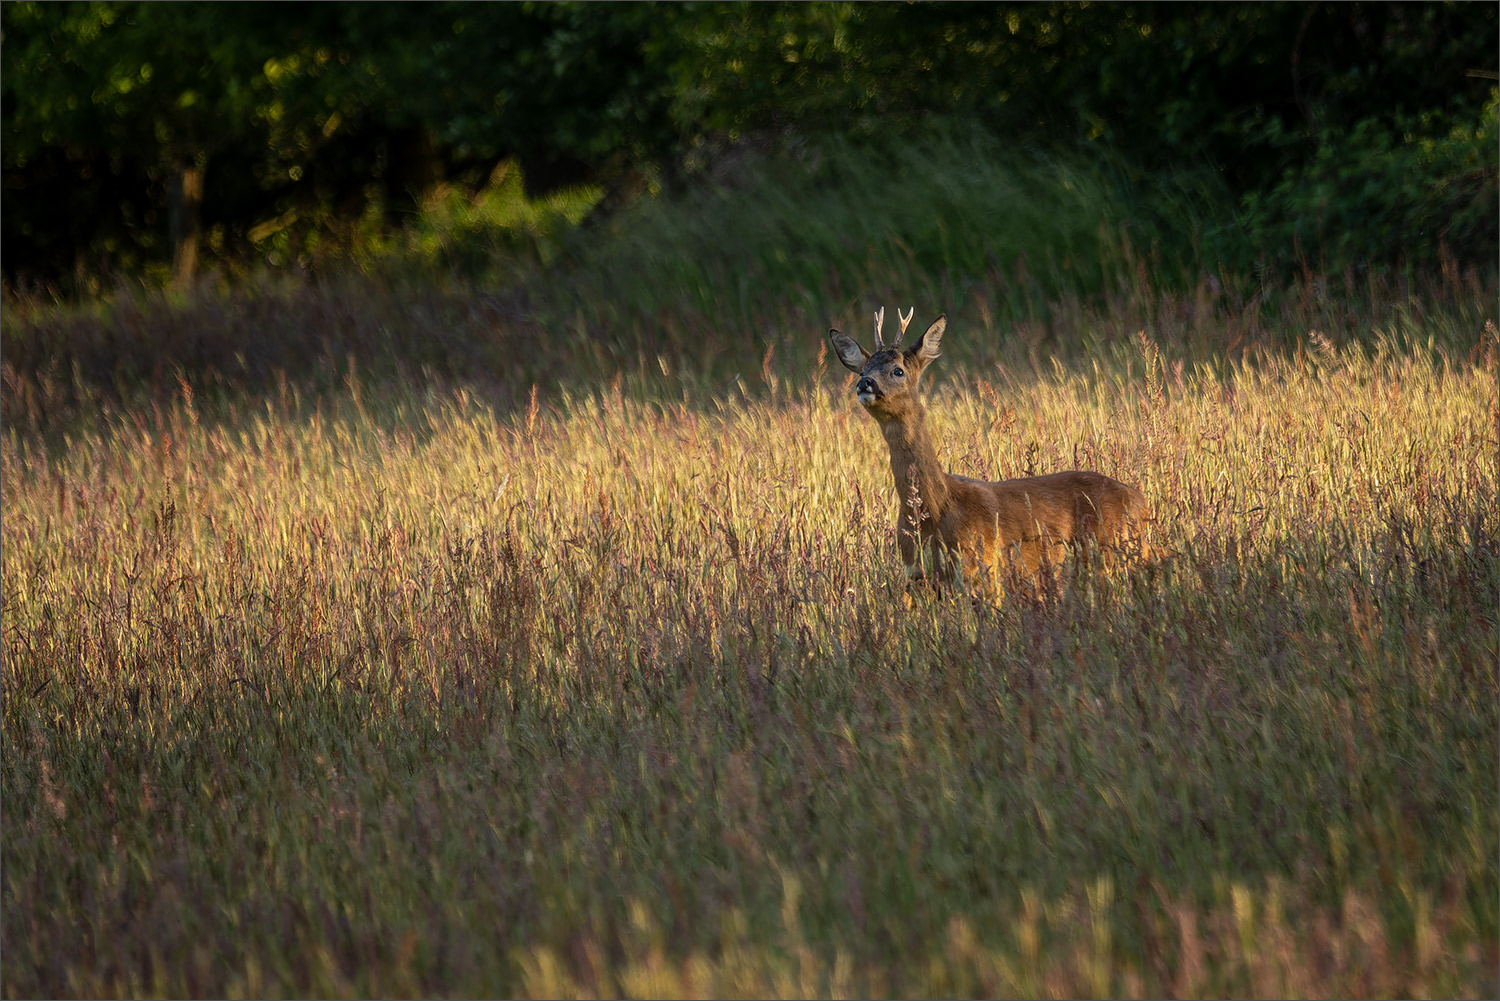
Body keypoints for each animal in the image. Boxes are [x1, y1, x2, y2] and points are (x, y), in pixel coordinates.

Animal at [828, 309, 1152, 591]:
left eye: (898, 370)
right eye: (864, 369)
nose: (865, 383)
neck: (933, 511)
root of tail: (1141, 501)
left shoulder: (981, 566)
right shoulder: (915, 577)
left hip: (1112, 552)